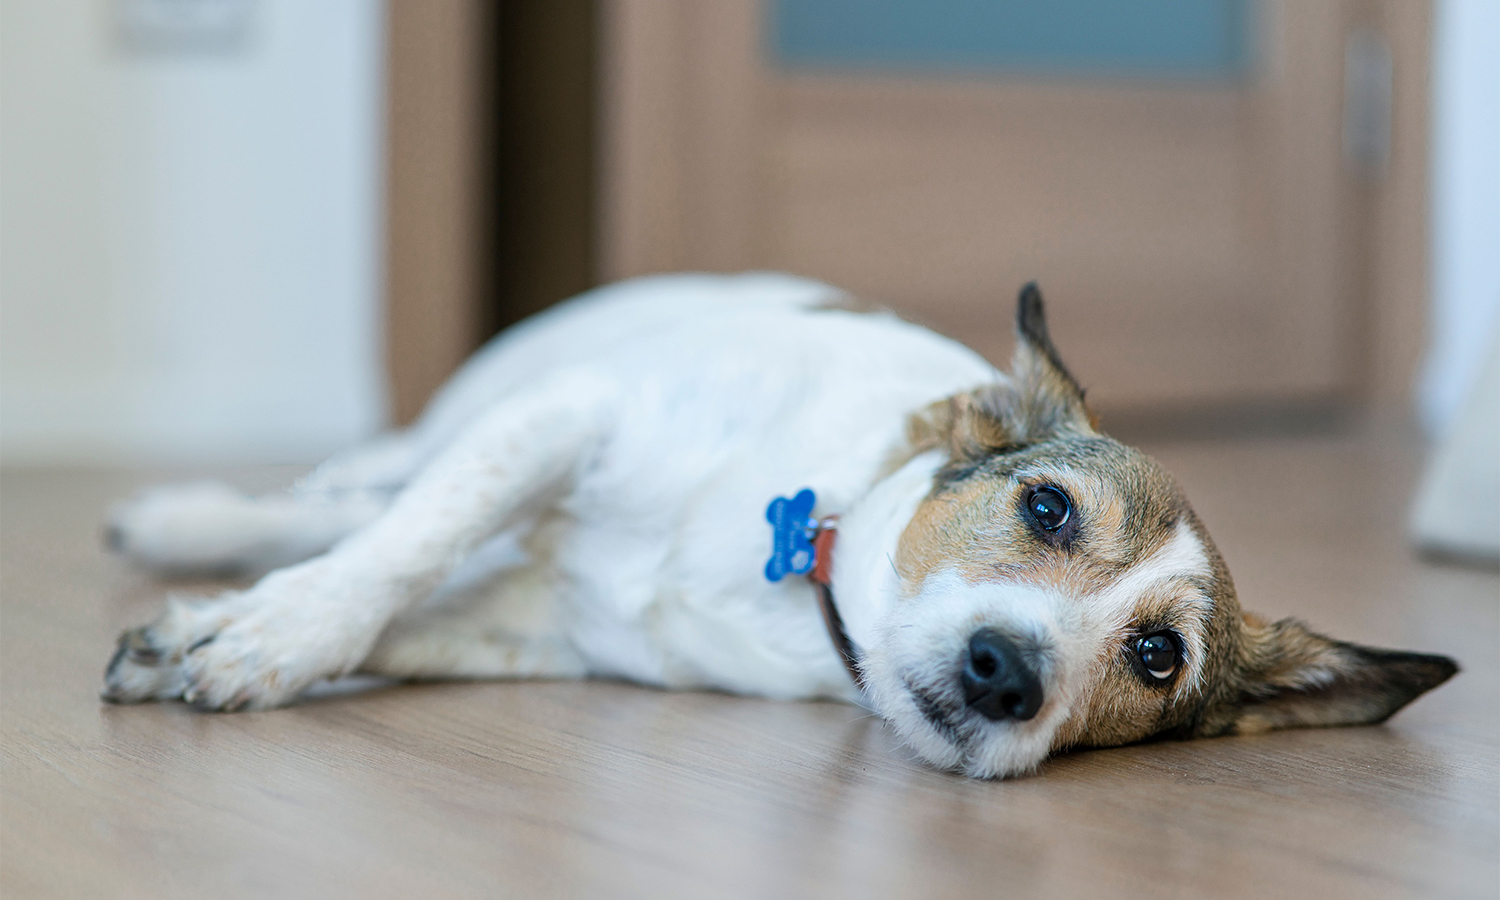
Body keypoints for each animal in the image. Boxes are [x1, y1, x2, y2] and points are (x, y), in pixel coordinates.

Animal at [102, 274, 1452, 780]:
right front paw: (273, 635)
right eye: (1046, 506)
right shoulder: (570, 418)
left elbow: (412, 610)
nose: (1004, 674)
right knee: (347, 503)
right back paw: (187, 520)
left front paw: (216, 642)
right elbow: (399, 553)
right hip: (456, 426)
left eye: (1159, 656)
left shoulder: (540, 625)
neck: (806, 556)